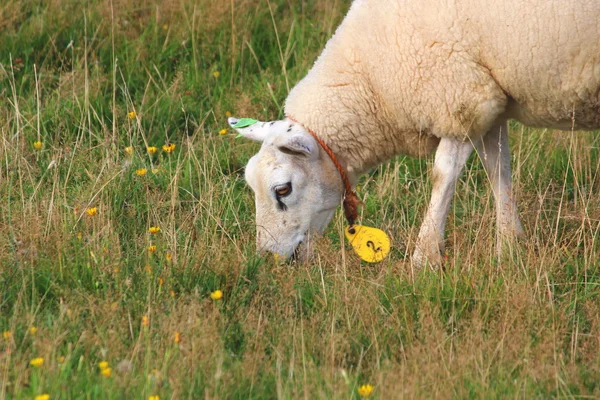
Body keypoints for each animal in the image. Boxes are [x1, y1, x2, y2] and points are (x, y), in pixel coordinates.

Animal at [229, 0, 600, 268]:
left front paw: (424, 258)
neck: (371, 82)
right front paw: (509, 246)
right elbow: (498, 170)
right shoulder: (488, 100)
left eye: (283, 189)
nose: (268, 260)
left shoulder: (458, 99)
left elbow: (442, 176)